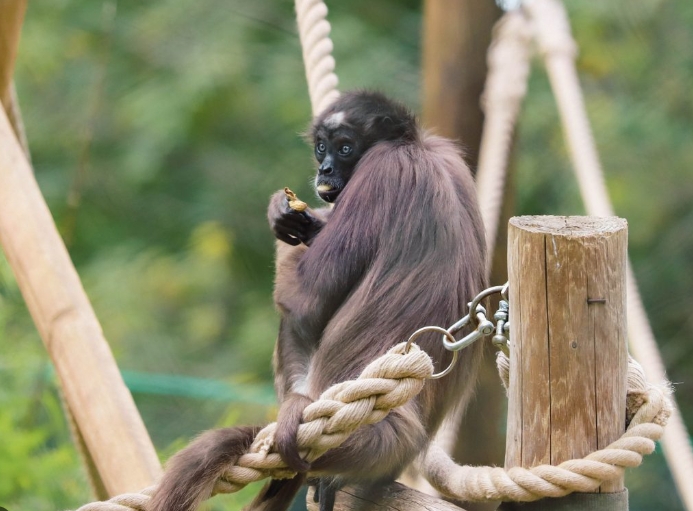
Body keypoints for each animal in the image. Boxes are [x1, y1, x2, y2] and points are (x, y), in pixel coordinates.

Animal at [150, 92, 486, 511]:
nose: (325, 168)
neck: (414, 147)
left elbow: (304, 305)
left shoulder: (380, 170)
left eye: (345, 148)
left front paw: (286, 216)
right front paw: (295, 215)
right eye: (321, 147)